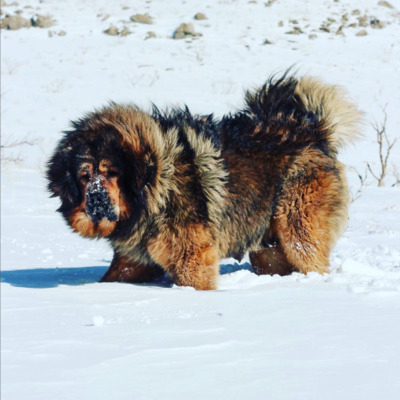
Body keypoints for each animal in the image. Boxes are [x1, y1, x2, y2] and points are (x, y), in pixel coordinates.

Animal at [47, 73, 362, 290]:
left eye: (112, 172)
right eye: (85, 176)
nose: (97, 199)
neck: (157, 182)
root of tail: (313, 131)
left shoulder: (192, 258)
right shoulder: (132, 259)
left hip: (298, 227)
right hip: (267, 245)